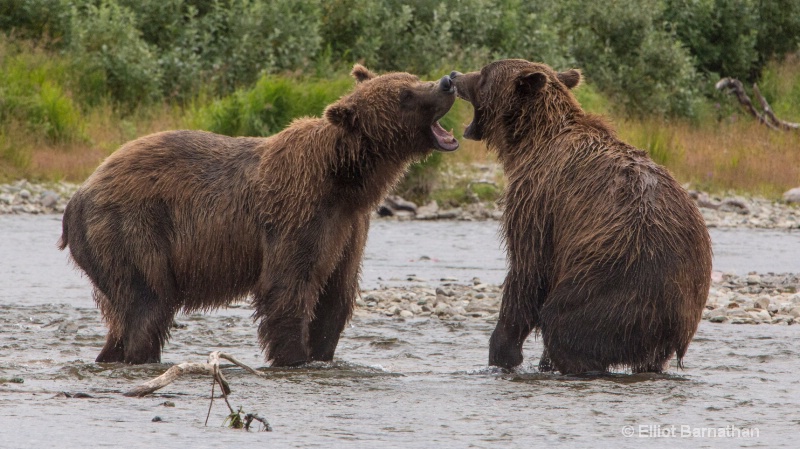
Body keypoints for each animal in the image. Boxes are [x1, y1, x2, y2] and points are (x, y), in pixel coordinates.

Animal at [59, 67, 460, 368]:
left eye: (412, 76)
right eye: (405, 94)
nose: (448, 80)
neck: (347, 179)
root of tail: (78, 195)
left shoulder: (349, 227)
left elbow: (336, 294)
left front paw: (322, 353)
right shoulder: (298, 214)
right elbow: (287, 287)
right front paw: (294, 357)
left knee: (121, 316)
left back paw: (109, 354)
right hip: (130, 228)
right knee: (148, 305)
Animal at [450, 60, 712, 374]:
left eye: (483, 74)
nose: (455, 76)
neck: (528, 142)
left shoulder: (536, 200)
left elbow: (528, 270)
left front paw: (503, 354)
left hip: (612, 281)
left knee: (563, 325)